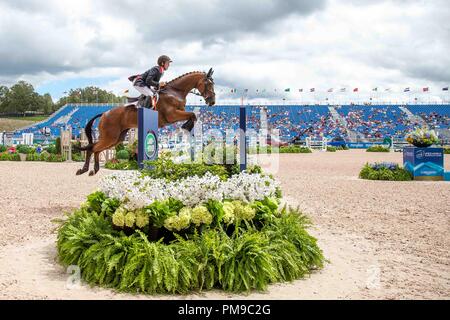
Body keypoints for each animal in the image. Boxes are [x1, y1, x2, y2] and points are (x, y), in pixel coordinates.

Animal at [74, 68, 215, 176]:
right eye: (208, 84)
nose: (212, 102)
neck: (175, 92)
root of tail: (104, 114)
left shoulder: (178, 113)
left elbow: (193, 116)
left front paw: (187, 128)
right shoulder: (172, 115)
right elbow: (193, 115)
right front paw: (186, 127)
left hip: (117, 138)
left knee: (96, 149)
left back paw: (93, 170)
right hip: (110, 137)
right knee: (92, 148)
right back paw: (84, 170)